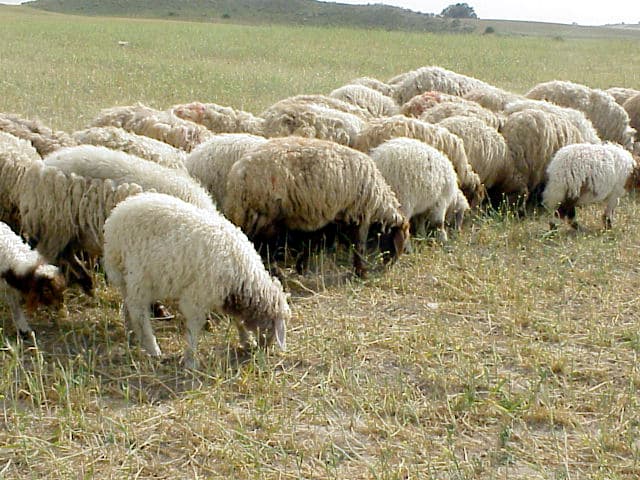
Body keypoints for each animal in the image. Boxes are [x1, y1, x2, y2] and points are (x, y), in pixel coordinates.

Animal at [103, 192, 289, 368]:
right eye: (274, 327)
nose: (266, 349)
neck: (243, 276)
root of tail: (116, 216)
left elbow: (236, 319)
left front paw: (247, 341)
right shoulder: (198, 295)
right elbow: (194, 325)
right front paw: (191, 359)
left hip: (124, 275)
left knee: (128, 304)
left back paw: (132, 335)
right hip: (139, 273)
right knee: (138, 309)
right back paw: (153, 348)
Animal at [223, 137, 410, 278]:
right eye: (399, 240)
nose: (389, 267)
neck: (379, 203)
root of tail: (237, 175)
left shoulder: (327, 216)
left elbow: (313, 243)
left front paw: (302, 268)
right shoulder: (359, 214)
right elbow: (359, 246)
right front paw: (361, 272)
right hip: (266, 217)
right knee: (264, 248)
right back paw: (276, 273)